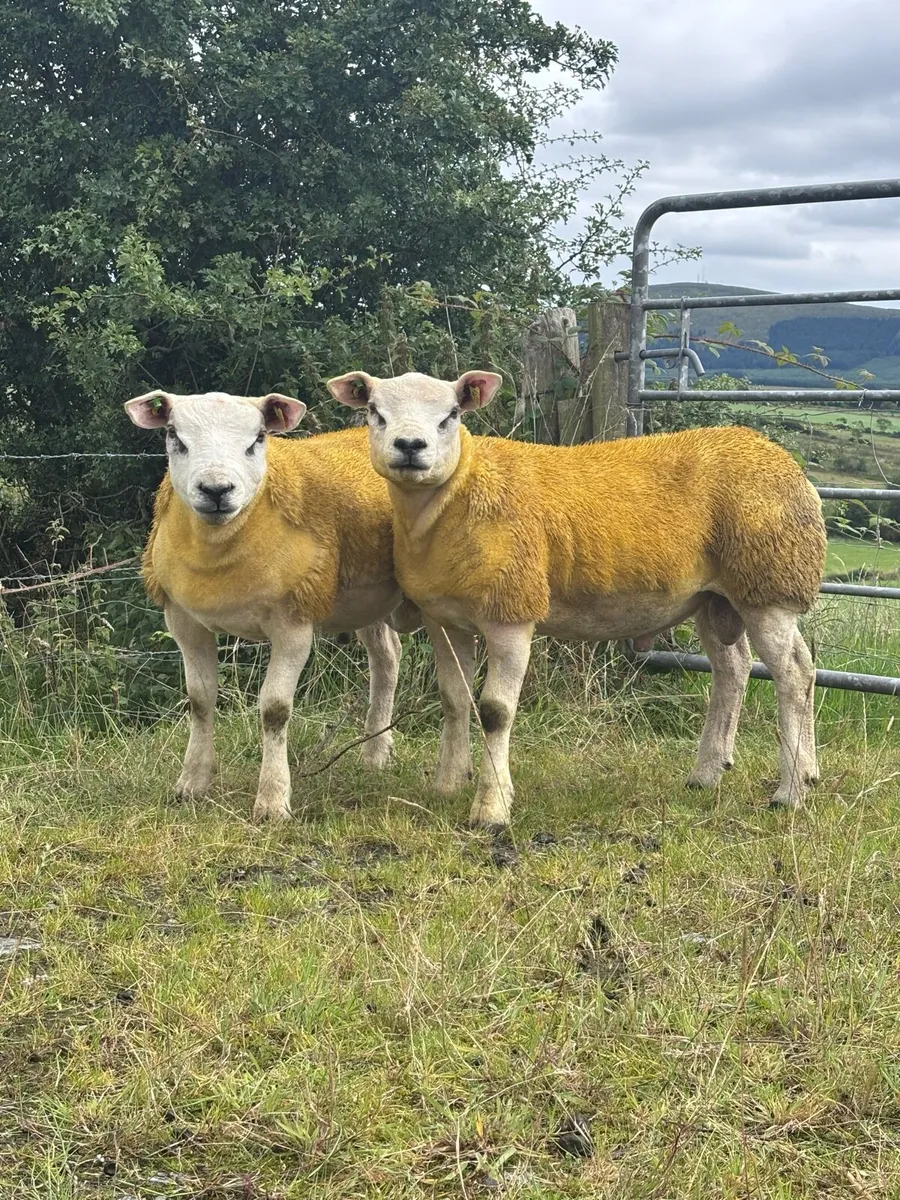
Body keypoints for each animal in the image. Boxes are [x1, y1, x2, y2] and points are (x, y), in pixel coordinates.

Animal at [125, 388, 418, 821]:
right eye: (174, 436)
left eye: (258, 438)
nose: (216, 490)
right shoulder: (183, 620)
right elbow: (199, 701)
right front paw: (192, 785)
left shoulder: (293, 622)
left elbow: (275, 709)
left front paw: (272, 801)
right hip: (368, 598)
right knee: (388, 658)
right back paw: (376, 754)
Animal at [327, 369, 827, 827]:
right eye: (375, 413)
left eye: (450, 415)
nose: (410, 446)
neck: (460, 492)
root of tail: (777, 455)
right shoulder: (444, 619)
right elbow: (454, 699)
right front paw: (447, 785)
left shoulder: (513, 610)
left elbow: (494, 712)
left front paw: (491, 808)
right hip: (713, 598)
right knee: (733, 670)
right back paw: (708, 774)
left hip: (769, 583)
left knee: (796, 673)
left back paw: (792, 789)